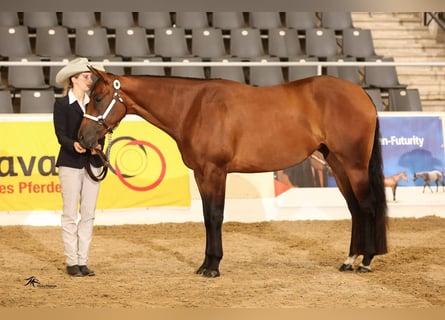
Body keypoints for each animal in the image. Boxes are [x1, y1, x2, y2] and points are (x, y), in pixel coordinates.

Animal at [78, 68, 386, 278]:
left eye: (98, 97)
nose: (83, 138)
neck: (193, 108)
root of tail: (362, 94)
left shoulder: (215, 171)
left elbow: (216, 216)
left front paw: (213, 267)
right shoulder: (202, 174)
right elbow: (206, 218)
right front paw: (205, 264)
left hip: (354, 165)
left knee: (368, 207)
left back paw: (366, 261)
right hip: (337, 163)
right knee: (355, 209)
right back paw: (349, 260)